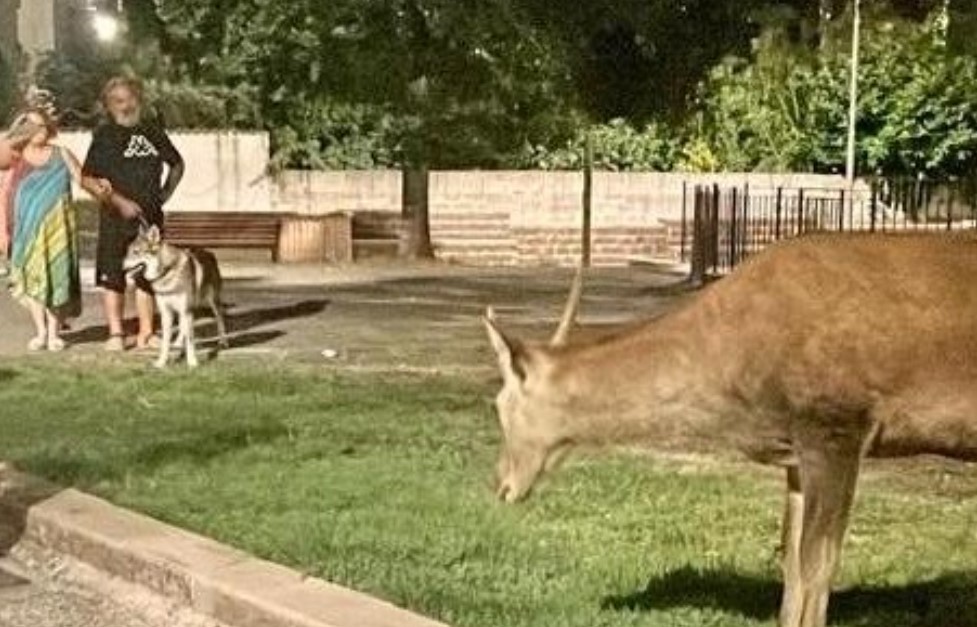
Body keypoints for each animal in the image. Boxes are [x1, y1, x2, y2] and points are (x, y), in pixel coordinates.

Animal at [482, 231, 977, 627]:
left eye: (499, 405)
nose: (501, 486)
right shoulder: (795, 450)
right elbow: (791, 566)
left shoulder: (837, 425)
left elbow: (819, 567)